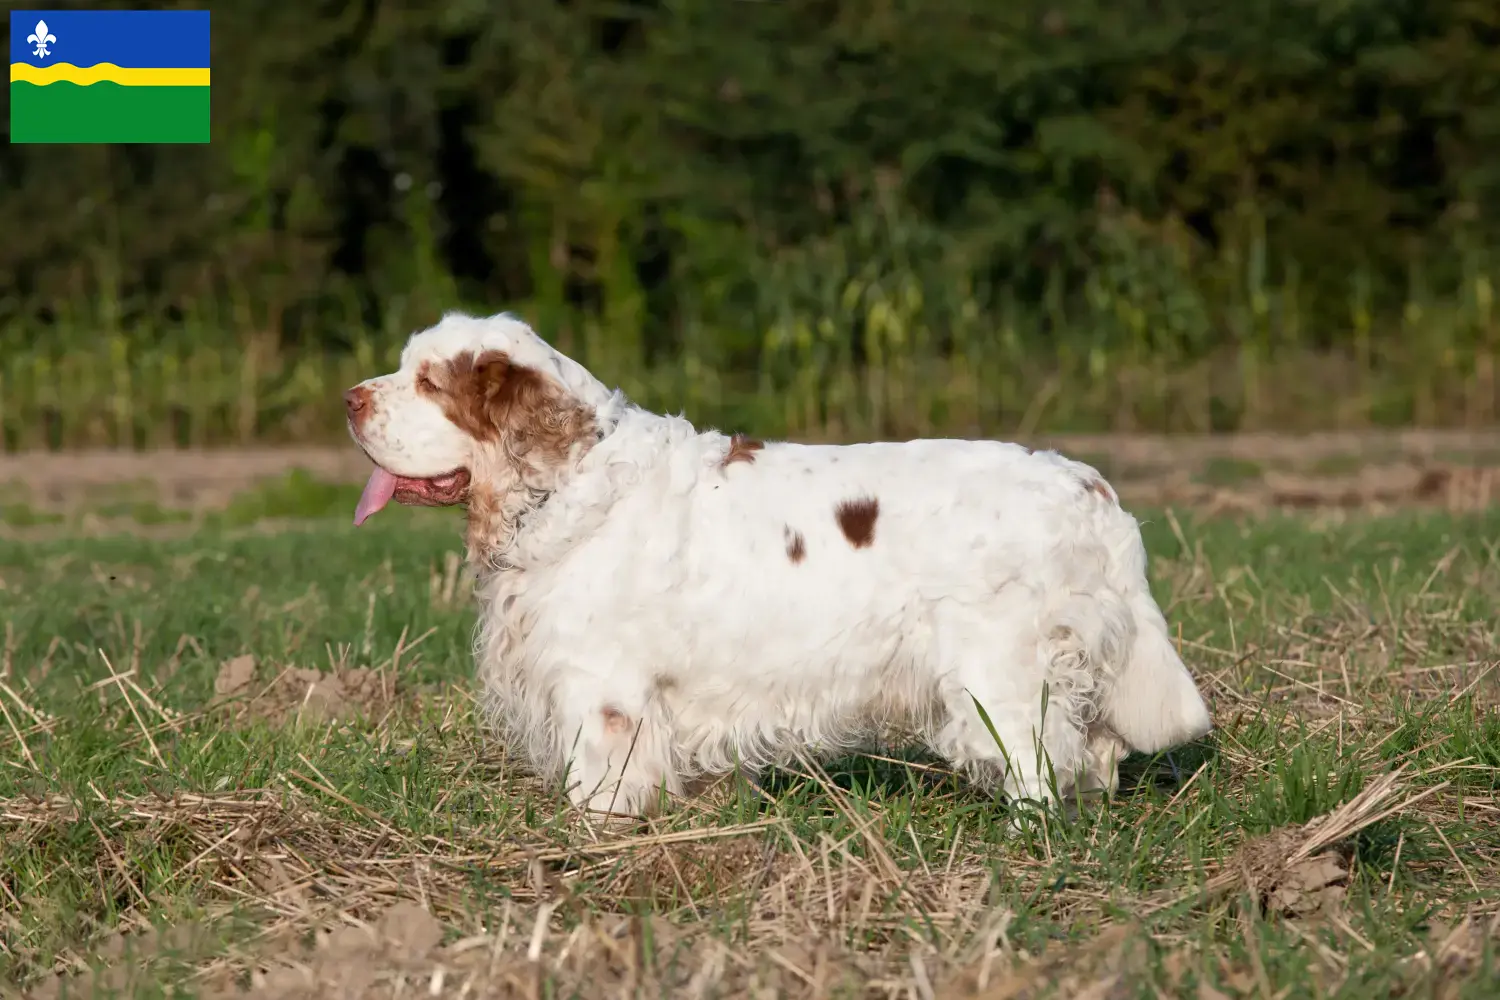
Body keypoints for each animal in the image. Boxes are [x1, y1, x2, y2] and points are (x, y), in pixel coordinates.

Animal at [340, 314, 1206, 821]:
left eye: (429, 382)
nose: (350, 399)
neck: (571, 478)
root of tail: (1091, 488)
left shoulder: (601, 690)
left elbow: (600, 784)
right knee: (1095, 751)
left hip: (1000, 675)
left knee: (1041, 761)